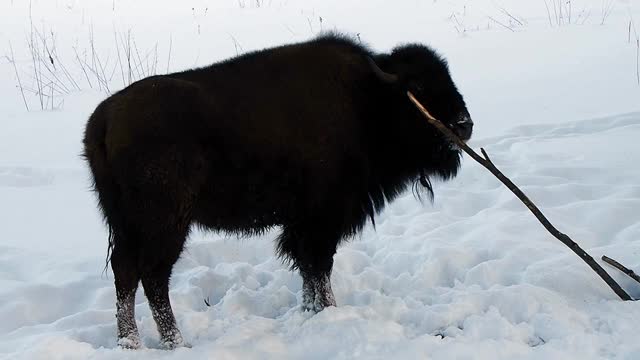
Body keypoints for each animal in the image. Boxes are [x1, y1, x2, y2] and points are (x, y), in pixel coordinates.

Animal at [82, 33, 472, 348]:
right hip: (165, 225)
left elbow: (308, 269)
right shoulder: (322, 220)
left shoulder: (303, 223)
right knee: (153, 275)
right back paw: (176, 342)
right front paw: (328, 310)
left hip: (125, 224)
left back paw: (130, 342)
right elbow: (319, 266)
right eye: (419, 88)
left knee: (126, 273)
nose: (464, 124)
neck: (367, 98)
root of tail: (103, 119)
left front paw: (311, 311)